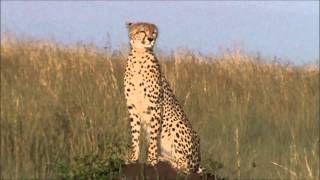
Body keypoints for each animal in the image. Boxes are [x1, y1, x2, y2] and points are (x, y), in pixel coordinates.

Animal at [124, 21, 202, 174]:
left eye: (154, 32)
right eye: (142, 31)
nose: (150, 39)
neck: (139, 55)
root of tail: (198, 160)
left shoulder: (154, 107)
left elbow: (154, 137)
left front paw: (151, 160)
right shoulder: (132, 107)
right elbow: (135, 135)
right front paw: (133, 158)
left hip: (177, 124)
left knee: (186, 167)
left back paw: (167, 162)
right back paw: (163, 159)